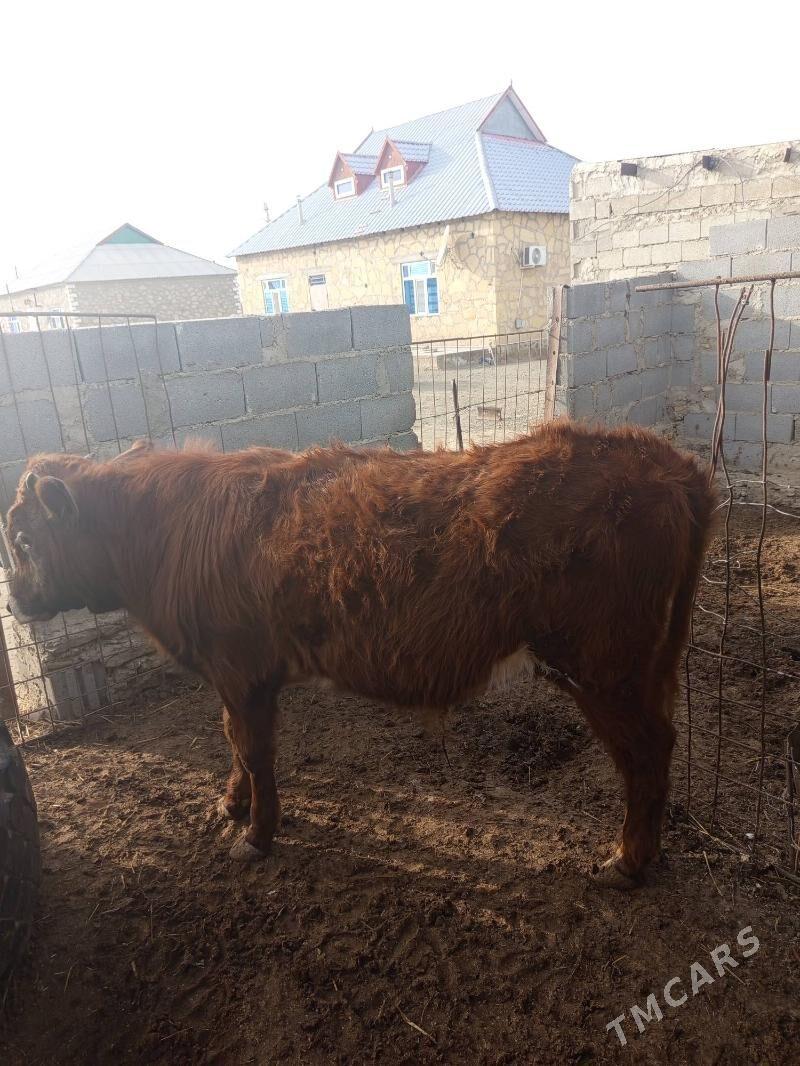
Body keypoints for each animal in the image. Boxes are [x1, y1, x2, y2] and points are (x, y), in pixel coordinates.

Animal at [4, 422, 715, 888]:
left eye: (22, 540)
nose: (14, 600)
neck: (165, 531)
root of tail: (662, 459)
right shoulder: (235, 676)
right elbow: (233, 742)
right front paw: (231, 806)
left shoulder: (242, 667)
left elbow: (253, 750)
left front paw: (255, 837)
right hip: (644, 665)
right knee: (661, 742)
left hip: (601, 668)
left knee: (646, 752)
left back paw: (626, 863)